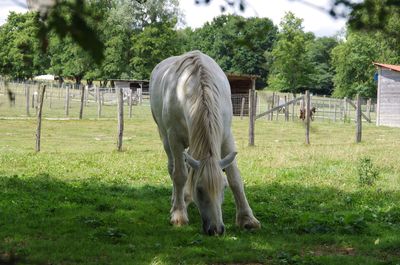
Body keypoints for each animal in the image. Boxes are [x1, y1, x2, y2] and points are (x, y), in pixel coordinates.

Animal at [149, 50, 260, 234]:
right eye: (199, 189)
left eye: (223, 188)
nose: (216, 230)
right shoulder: (174, 138)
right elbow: (179, 175)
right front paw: (179, 215)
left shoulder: (226, 137)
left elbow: (235, 178)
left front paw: (247, 219)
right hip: (164, 137)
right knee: (173, 168)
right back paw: (176, 201)